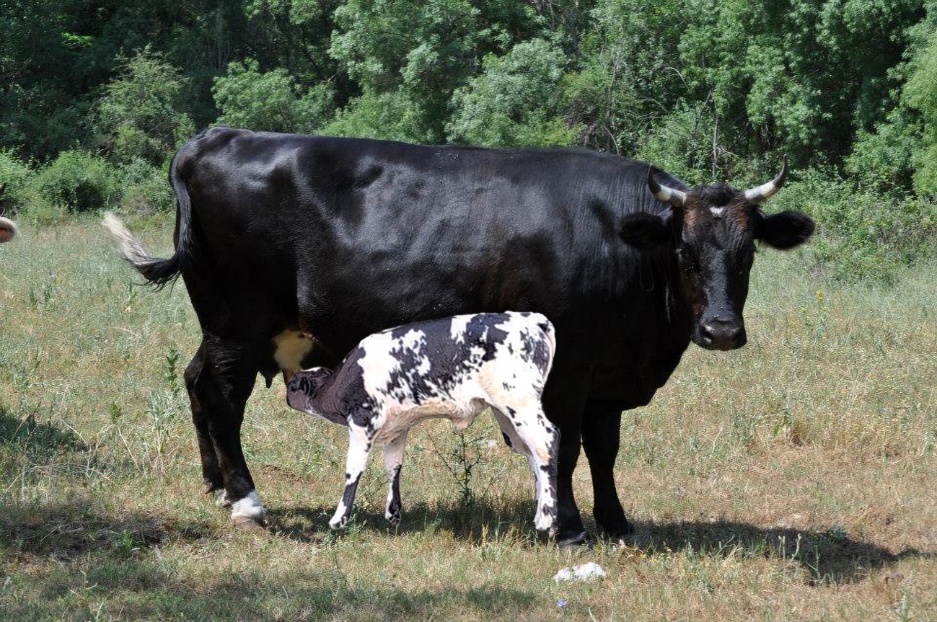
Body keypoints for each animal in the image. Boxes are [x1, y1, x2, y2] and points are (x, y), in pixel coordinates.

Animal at [285, 311, 559, 532]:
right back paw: (539, 510)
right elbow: (393, 465)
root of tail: (530, 318)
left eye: (294, 384)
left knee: (547, 441)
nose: (286, 392)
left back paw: (547, 518)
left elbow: (354, 468)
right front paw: (393, 514)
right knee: (533, 455)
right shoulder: (398, 426)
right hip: (508, 418)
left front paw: (339, 519)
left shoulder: (363, 420)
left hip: (520, 403)